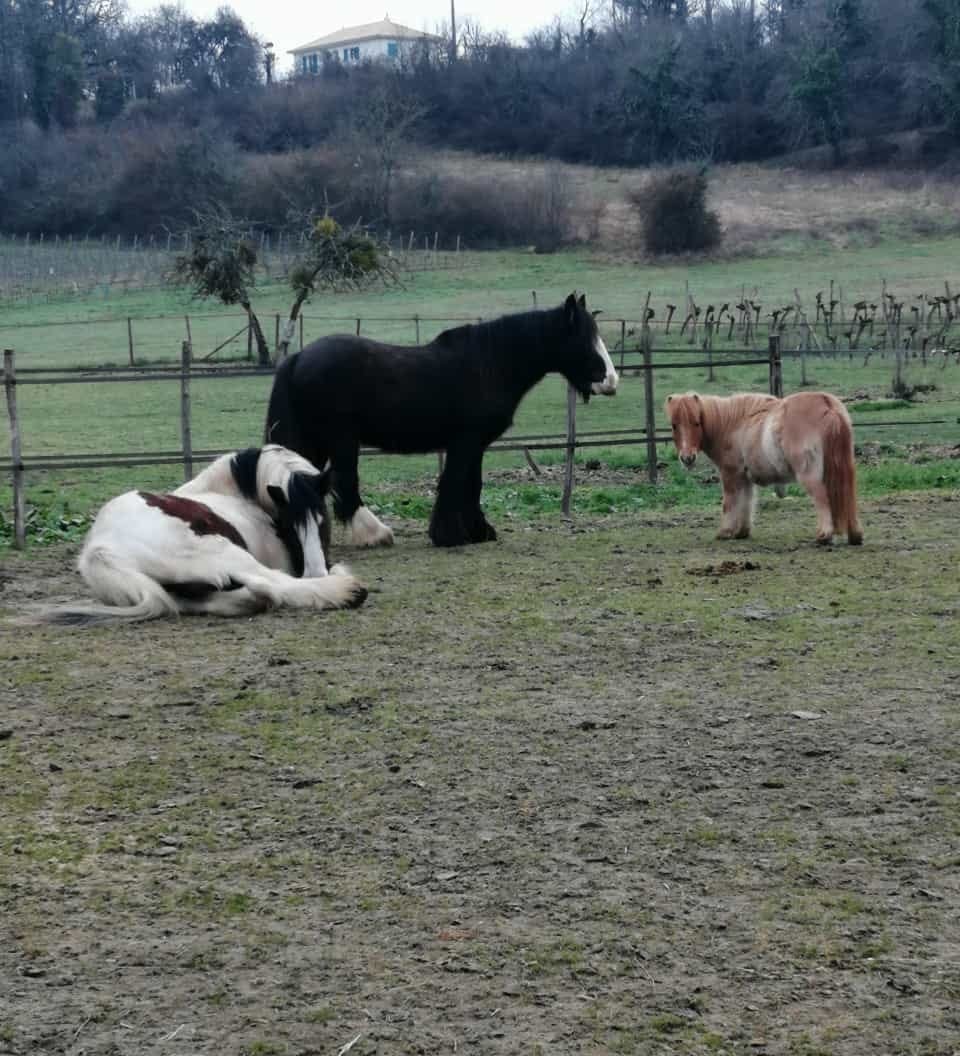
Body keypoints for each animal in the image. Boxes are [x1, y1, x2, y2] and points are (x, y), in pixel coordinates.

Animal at [39, 443, 367, 620]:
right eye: (287, 523)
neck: (237, 495)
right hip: (227, 553)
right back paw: (345, 590)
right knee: (272, 583)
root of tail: (102, 550)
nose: (315, 571)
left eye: (322, 517)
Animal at [264, 293, 620, 549]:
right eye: (583, 338)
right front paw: (449, 536)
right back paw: (376, 533)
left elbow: (472, 485)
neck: (490, 364)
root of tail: (299, 357)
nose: (611, 380)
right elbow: (454, 483)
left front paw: (478, 531)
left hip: (314, 441)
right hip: (341, 440)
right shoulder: (464, 443)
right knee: (346, 484)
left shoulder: (476, 445)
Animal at [667, 392, 861, 549]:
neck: (731, 425)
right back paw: (855, 536)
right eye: (674, 425)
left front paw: (725, 531)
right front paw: (741, 532)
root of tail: (827, 405)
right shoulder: (744, 478)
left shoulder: (730, 474)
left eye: (697, 423)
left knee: (821, 498)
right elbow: (746, 501)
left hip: (810, 476)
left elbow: (729, 503)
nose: (687, 458)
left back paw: (824, 535)